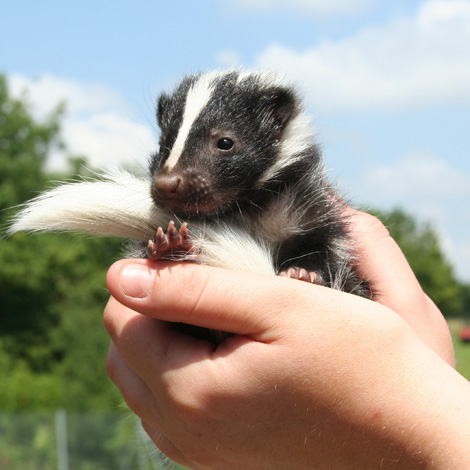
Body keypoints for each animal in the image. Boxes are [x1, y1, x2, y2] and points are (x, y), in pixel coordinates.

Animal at [6, 69, 368, 316]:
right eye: (164, 142)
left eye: (225, 142)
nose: (167, 184)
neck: (242, 210)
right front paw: (169, 244)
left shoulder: (307, 206)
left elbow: (328, 247)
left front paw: (303, 272)